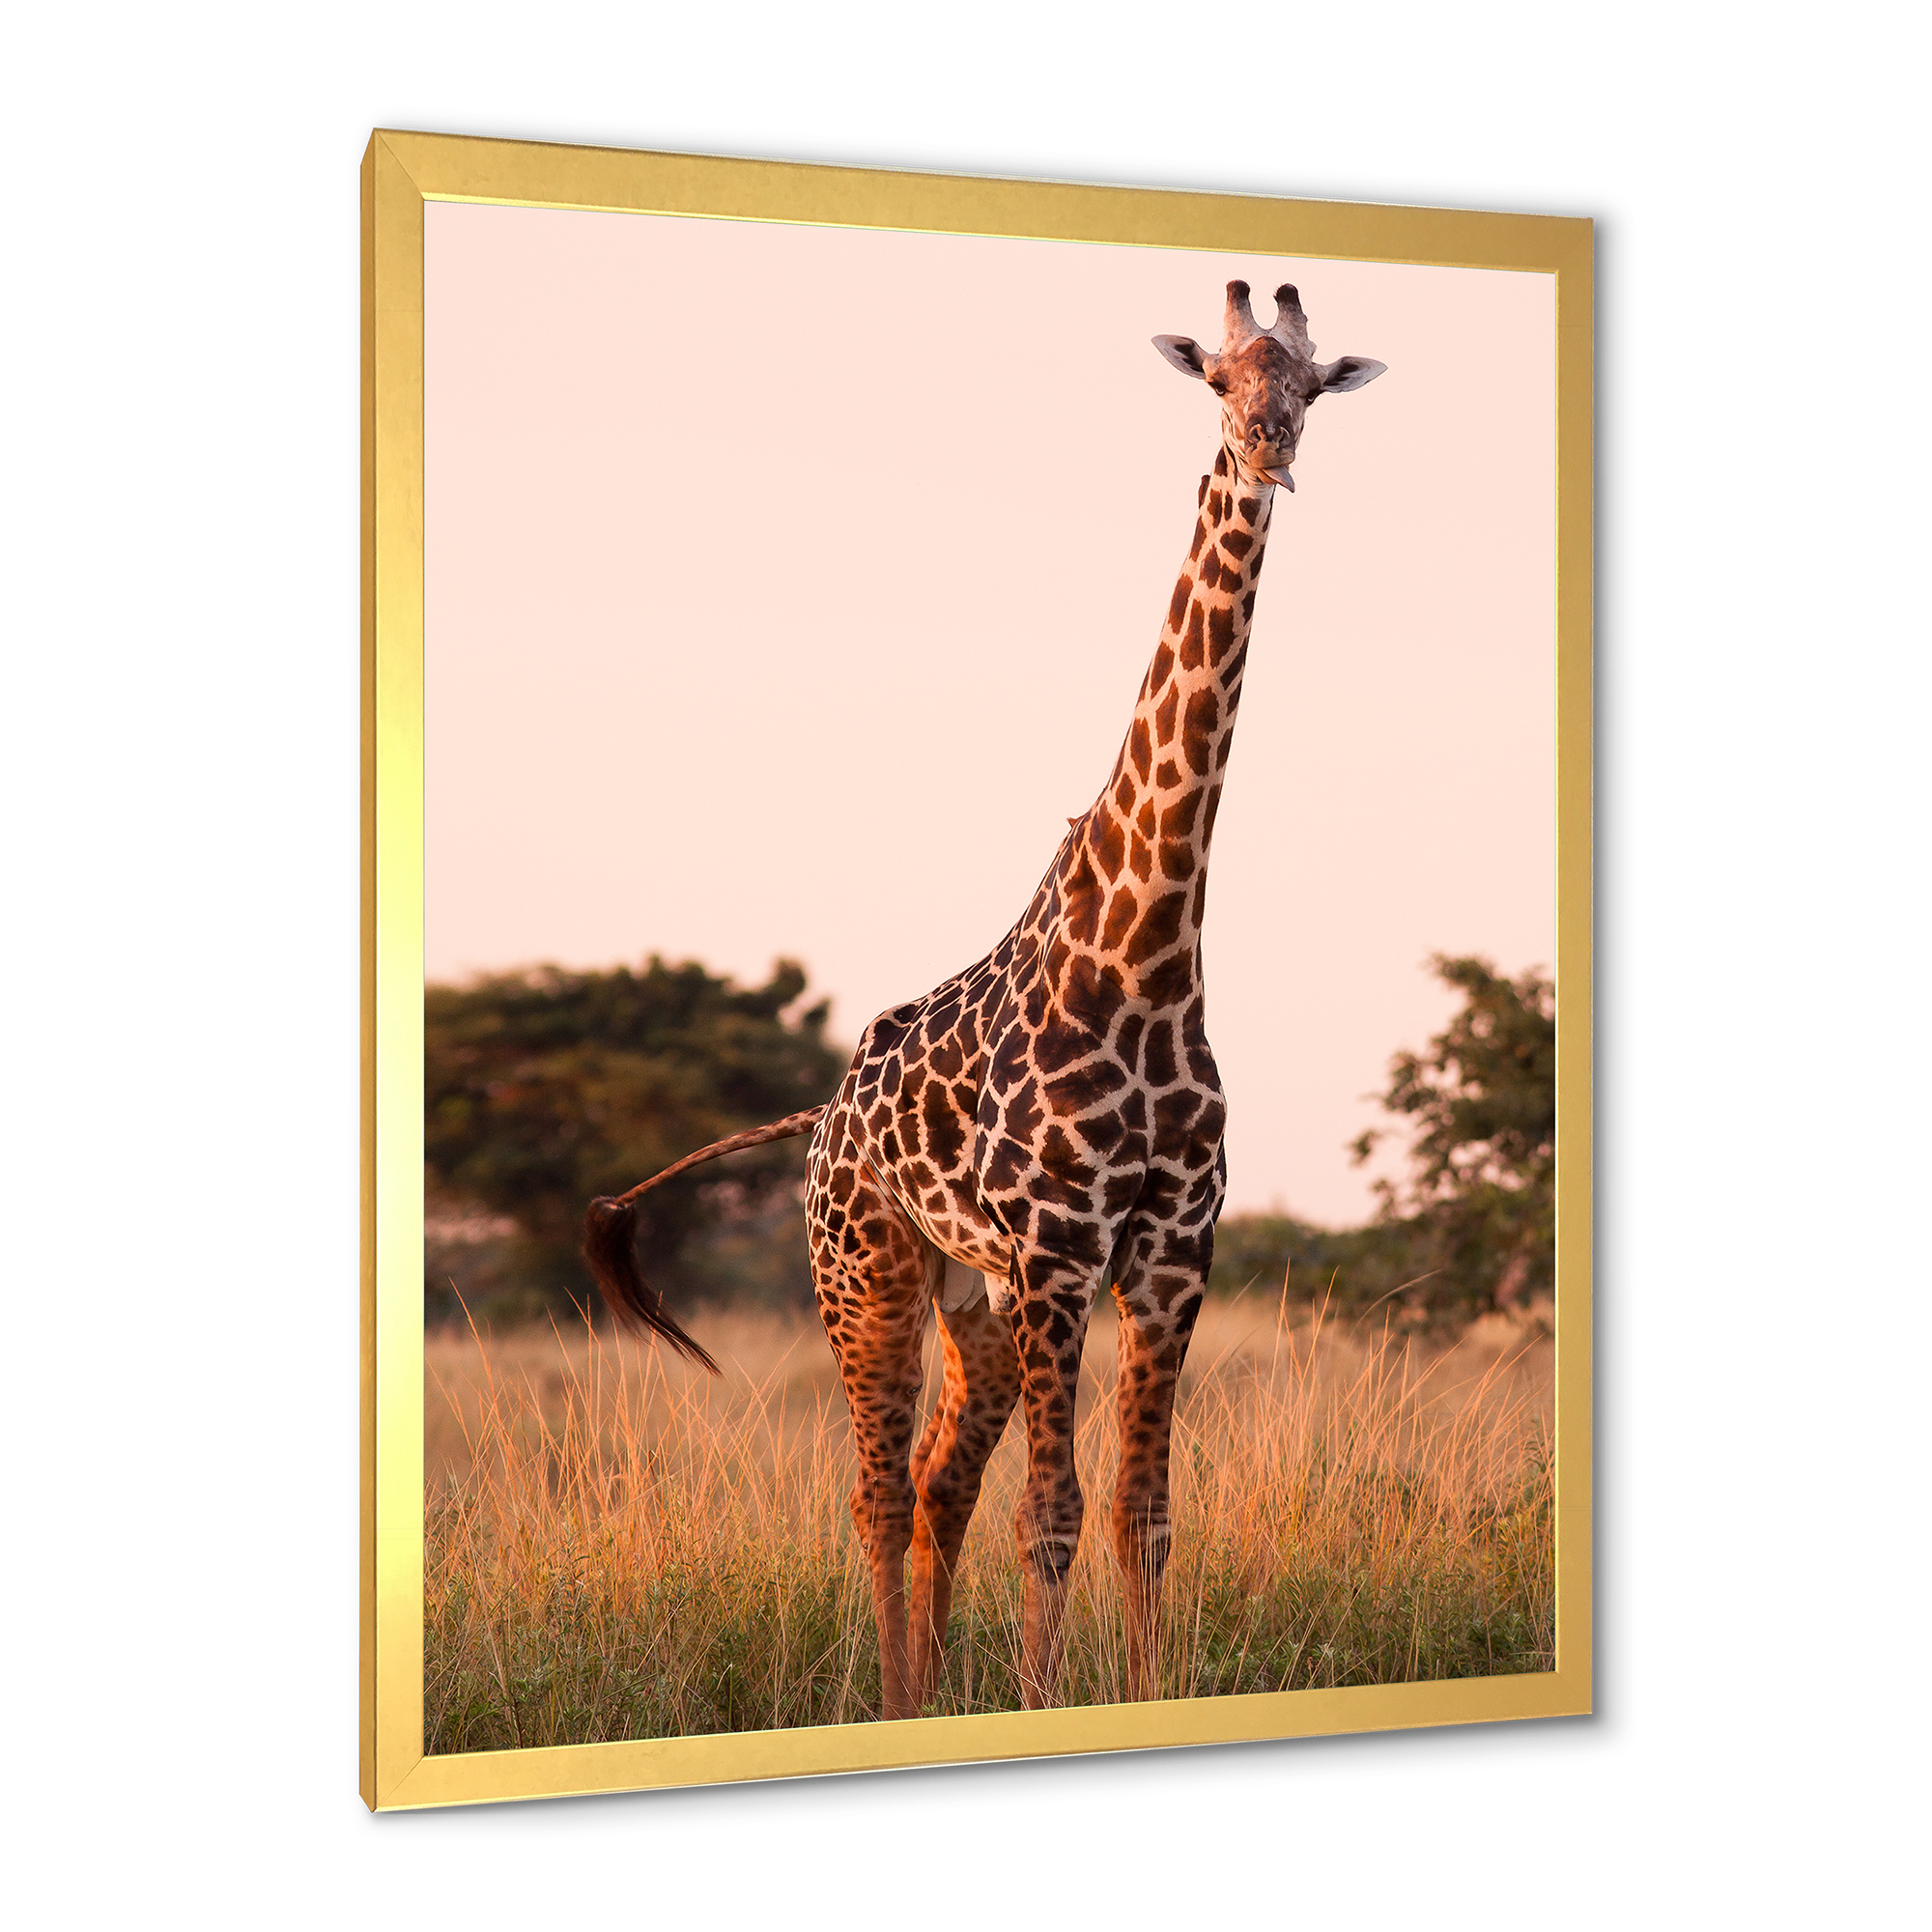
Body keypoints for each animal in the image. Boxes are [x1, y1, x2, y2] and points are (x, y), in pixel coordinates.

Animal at [584, 279, 1384, 1719]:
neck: (1148, 958)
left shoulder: (1168, 1251)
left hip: (978, 1304)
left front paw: (1130, 1696)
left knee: (936, 1488)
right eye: (1216, 379)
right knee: (878, 1492)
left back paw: (919, 1697)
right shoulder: (1061, 1251)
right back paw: (898, 1699)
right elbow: (1051, 1515)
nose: (1267, 447)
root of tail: (819, 1121)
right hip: (869, 1273)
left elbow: (1141, 1515)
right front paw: (1039, 1700)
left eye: (1306, 382)